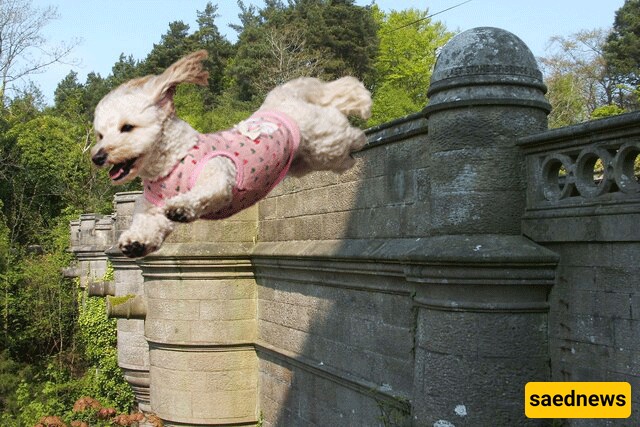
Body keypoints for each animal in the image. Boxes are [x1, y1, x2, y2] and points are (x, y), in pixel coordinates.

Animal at [90, 50, 370, 258]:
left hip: (324, 141)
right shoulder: (150, 206)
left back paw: (361, 131)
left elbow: (201, 193)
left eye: (127, 127)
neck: (173, 164)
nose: (98, 157)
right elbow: (147, 224)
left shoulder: (218, 178)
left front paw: (181, 207)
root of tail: (280, 100)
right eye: (100, 135)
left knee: (344, 128)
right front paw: (135, 242)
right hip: (305, 160)